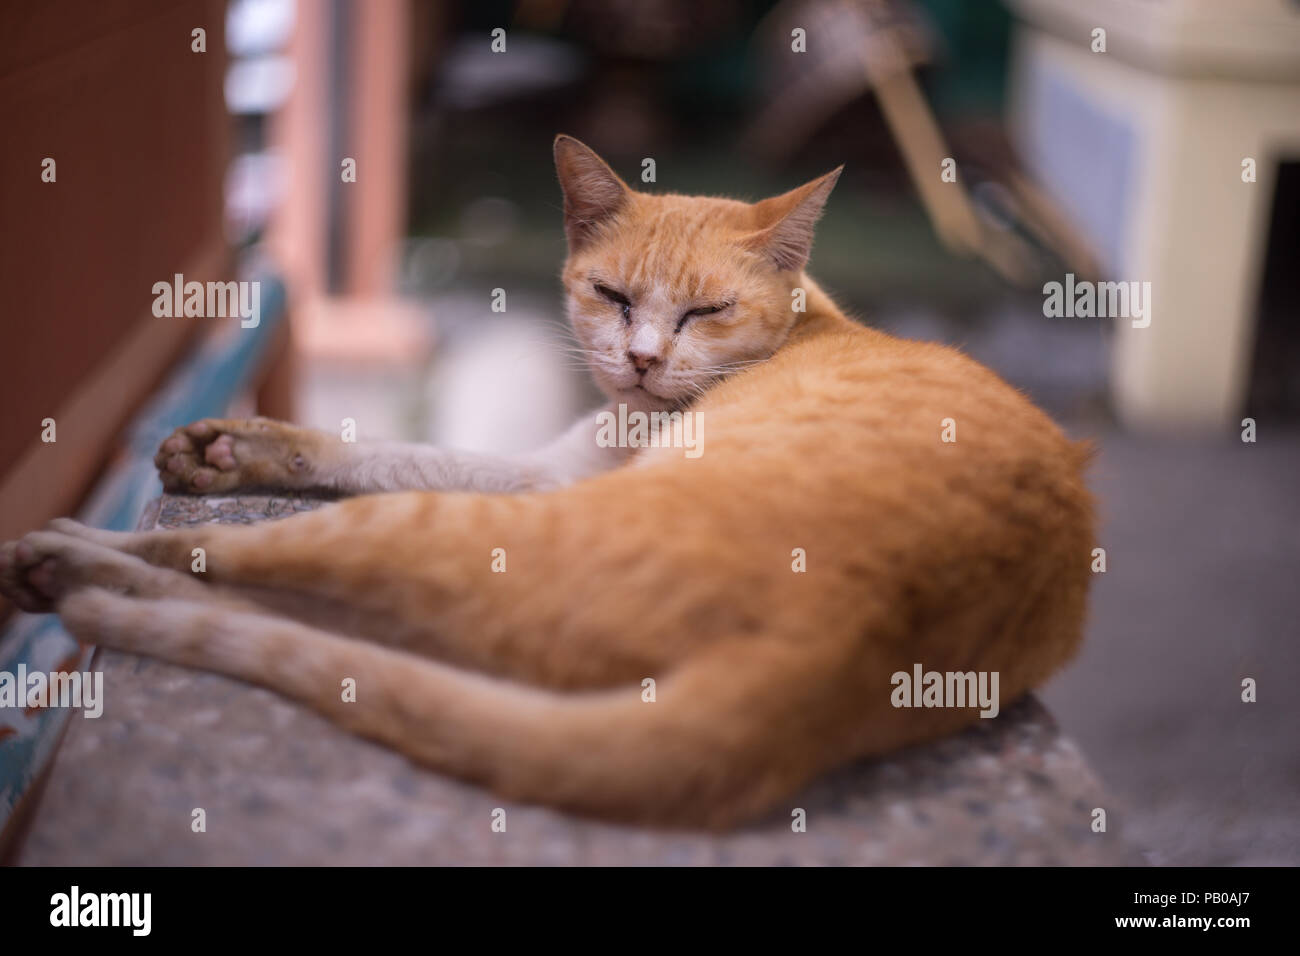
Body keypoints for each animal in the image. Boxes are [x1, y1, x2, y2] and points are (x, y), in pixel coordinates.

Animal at [2, 136, 1097, 832]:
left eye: (704, 311)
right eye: (610, 295)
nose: (645, 360)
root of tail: (849, 632)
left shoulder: (543, 483)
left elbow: (365, 467)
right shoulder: (547, 468)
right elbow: (370, 444)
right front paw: (236, 447)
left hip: (444, 538)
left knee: (217, 566)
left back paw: (67, 569)